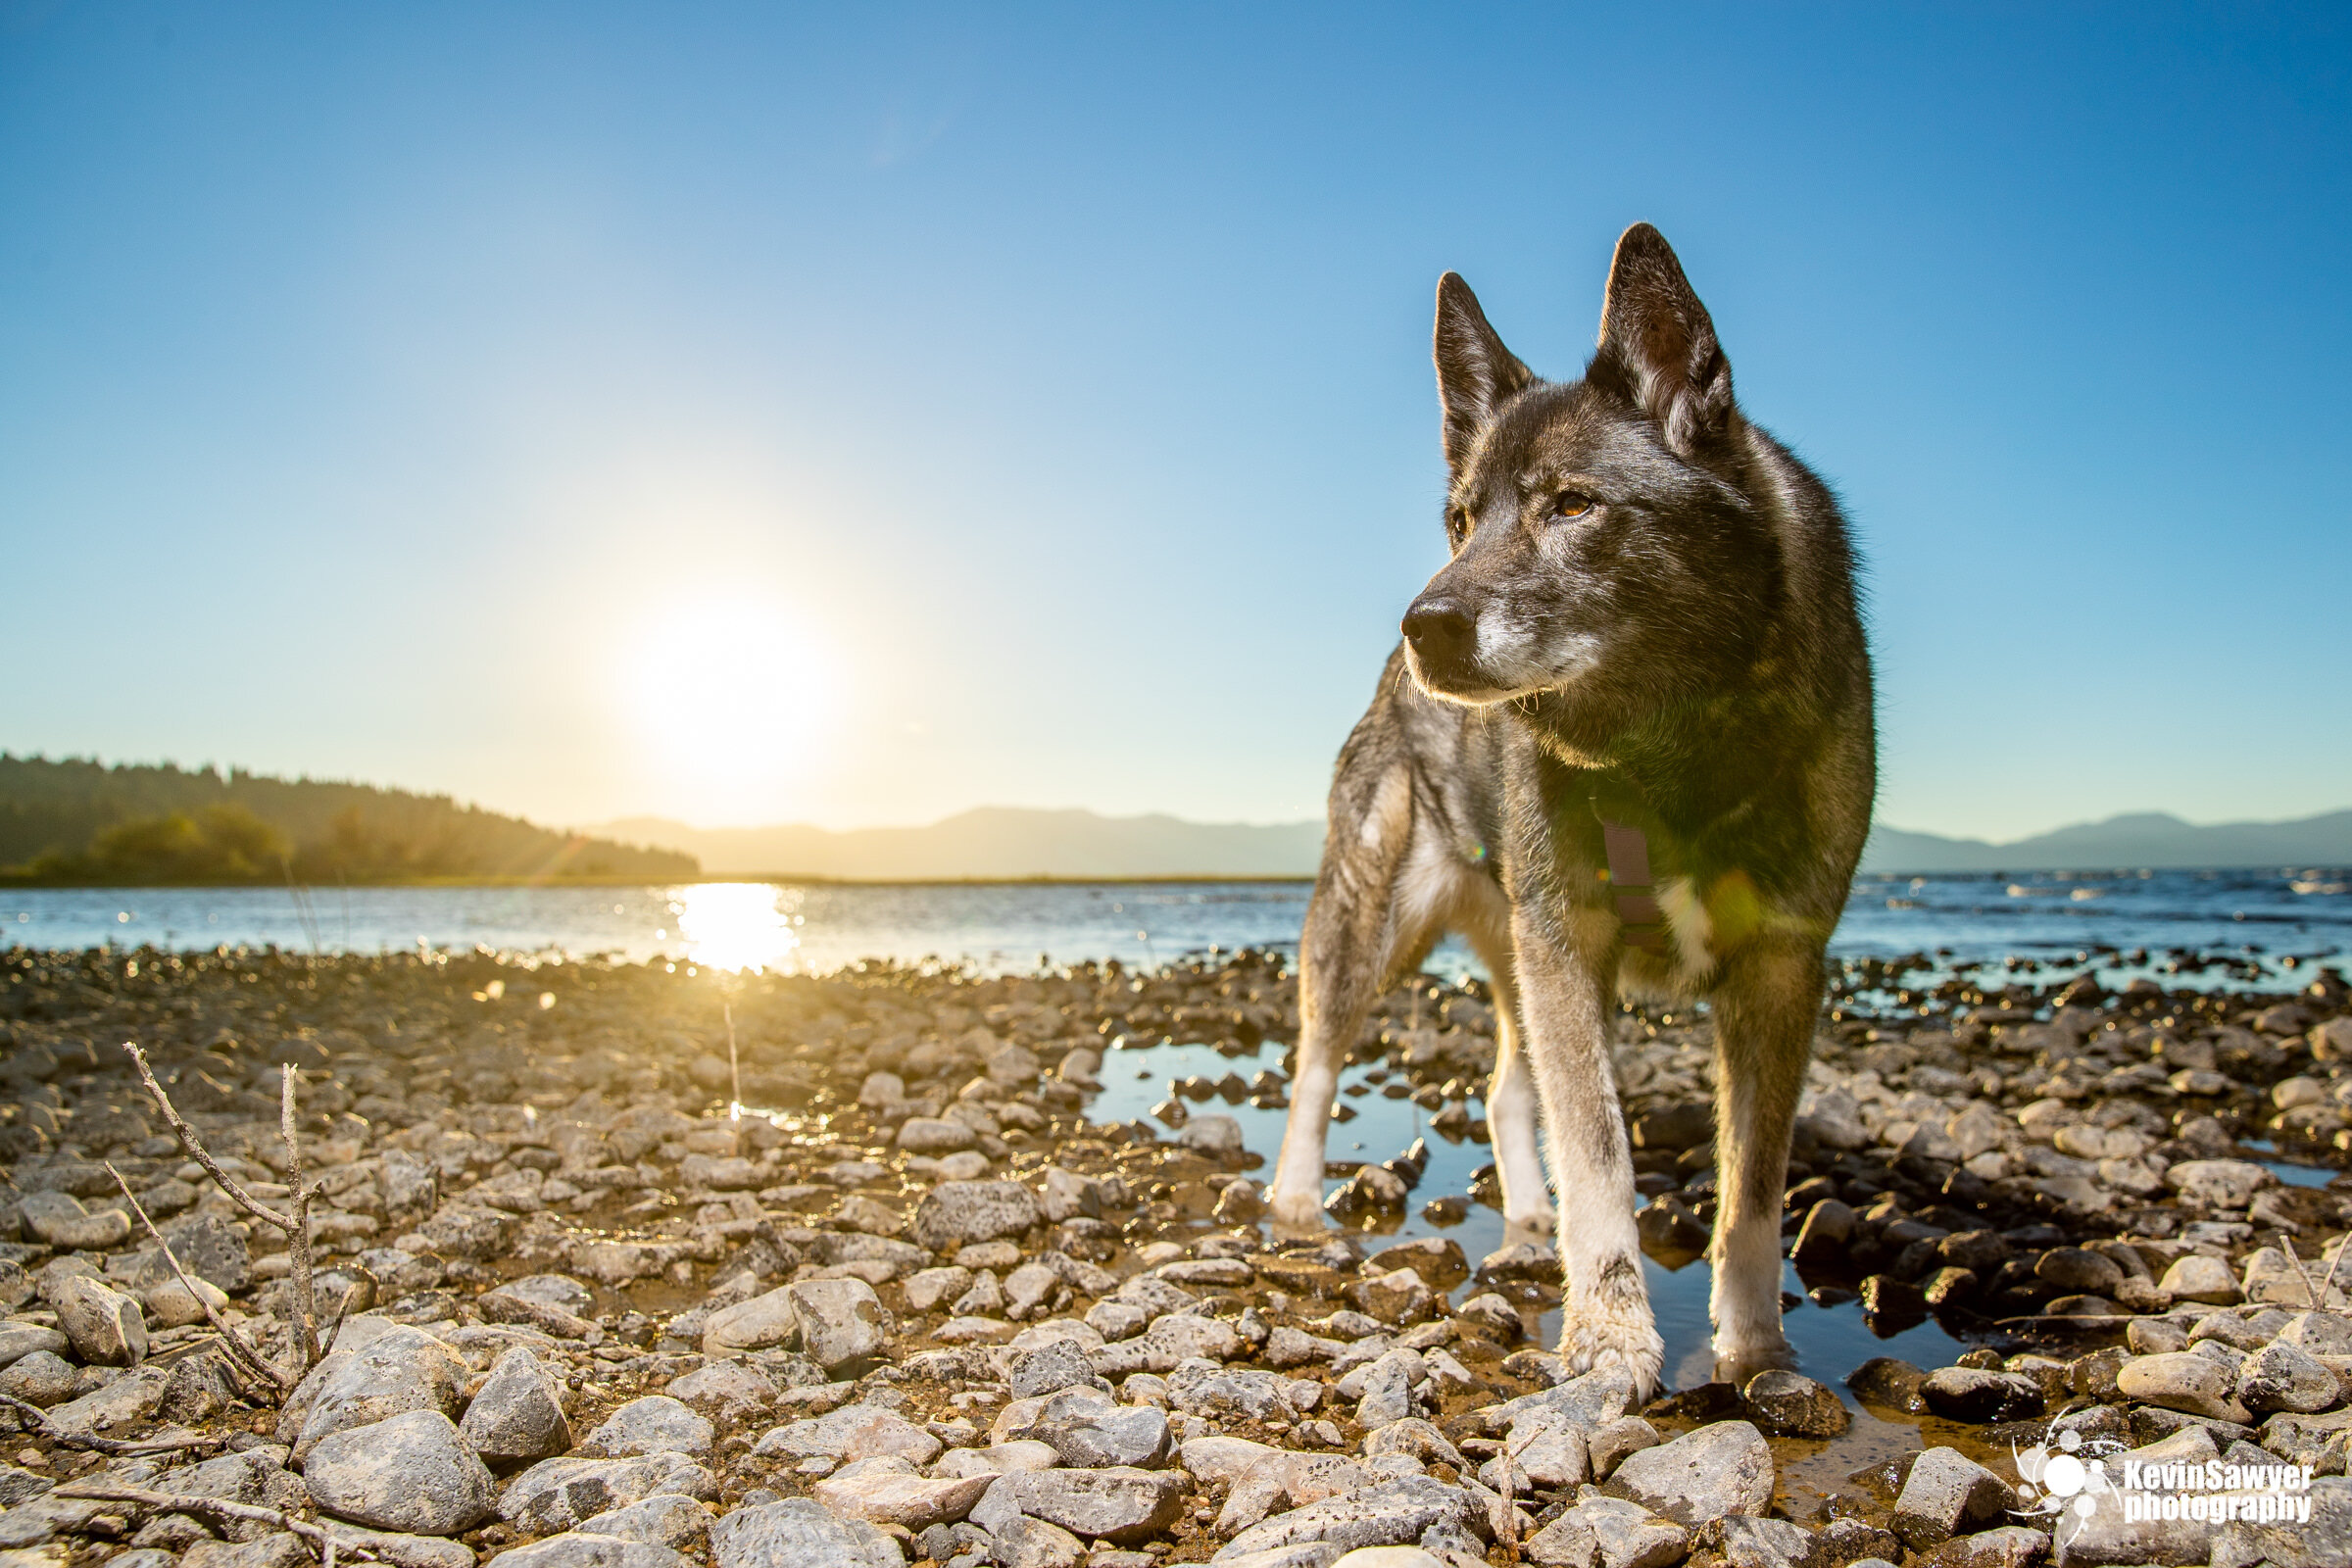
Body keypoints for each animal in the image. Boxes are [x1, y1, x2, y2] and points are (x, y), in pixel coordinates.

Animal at [1270, 222, 1872, 1400]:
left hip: (1517, 943)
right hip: (1376, 923)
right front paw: (1609, 1338)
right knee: (1317, 1063)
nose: (1426, 625)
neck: (1673, 744)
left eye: (1574, 505)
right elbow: (1600, 1154)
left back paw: (1524, 1220)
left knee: (1509, 1088)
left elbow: (1753, 1188)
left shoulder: (1780, 969)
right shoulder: (1572, 947)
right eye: (1462, 519)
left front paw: (1756, 1347)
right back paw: (1296, 1202)